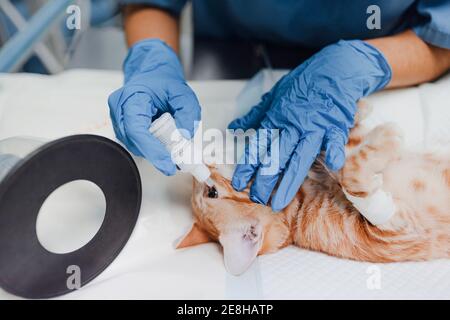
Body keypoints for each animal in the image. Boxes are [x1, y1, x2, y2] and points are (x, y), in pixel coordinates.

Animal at [178, 104, 448, 274]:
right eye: (211, 193)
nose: (201, 160)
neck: (304, 195)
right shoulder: (395, 232)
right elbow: (352, 174)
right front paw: (388, 134)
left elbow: (342, 143)